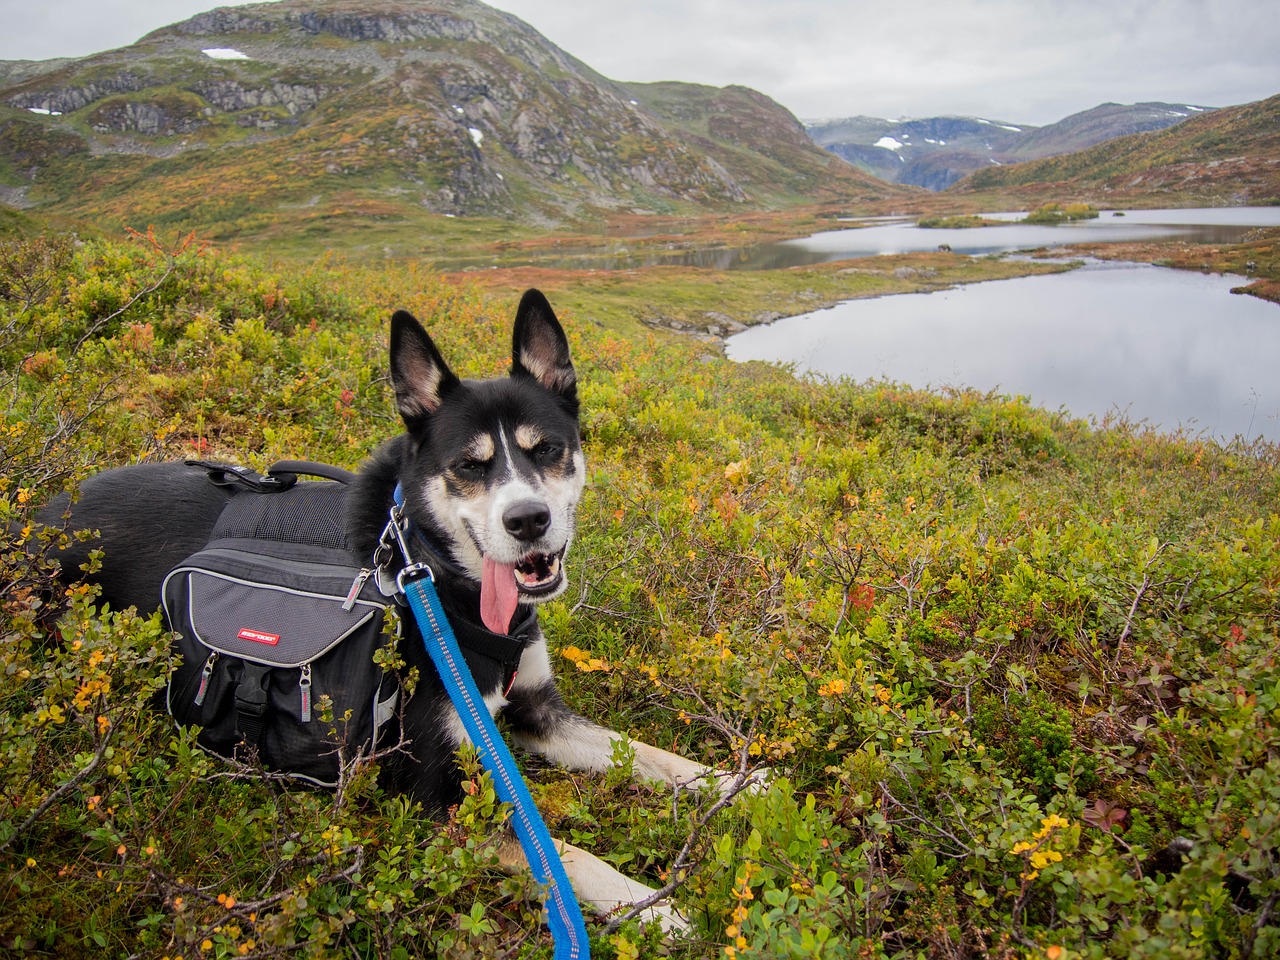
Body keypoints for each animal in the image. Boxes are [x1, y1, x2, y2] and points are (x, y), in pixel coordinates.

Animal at [37, 288, 742, 931]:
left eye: (546, 449)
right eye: (469, 466)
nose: (528, 520)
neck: (434, 575)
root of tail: (37, 516)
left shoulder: (537, 712)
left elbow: (646, 753)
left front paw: (738, 782)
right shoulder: (438, 794)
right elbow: (562, 855)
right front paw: (651, 905)